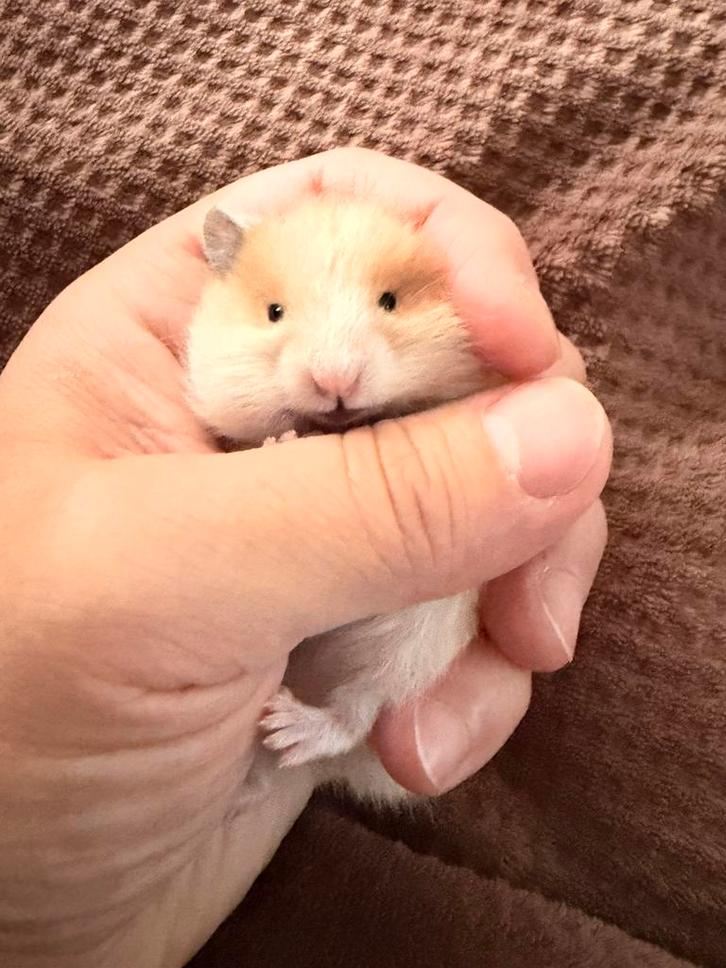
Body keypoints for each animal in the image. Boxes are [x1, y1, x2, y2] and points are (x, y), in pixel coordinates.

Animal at [186, 192, 501, 804]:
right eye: (274, 312)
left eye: (390, 302)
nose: (335, 382)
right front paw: (281, 443)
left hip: (412, 646)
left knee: (358, 711)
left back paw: (288, 730)